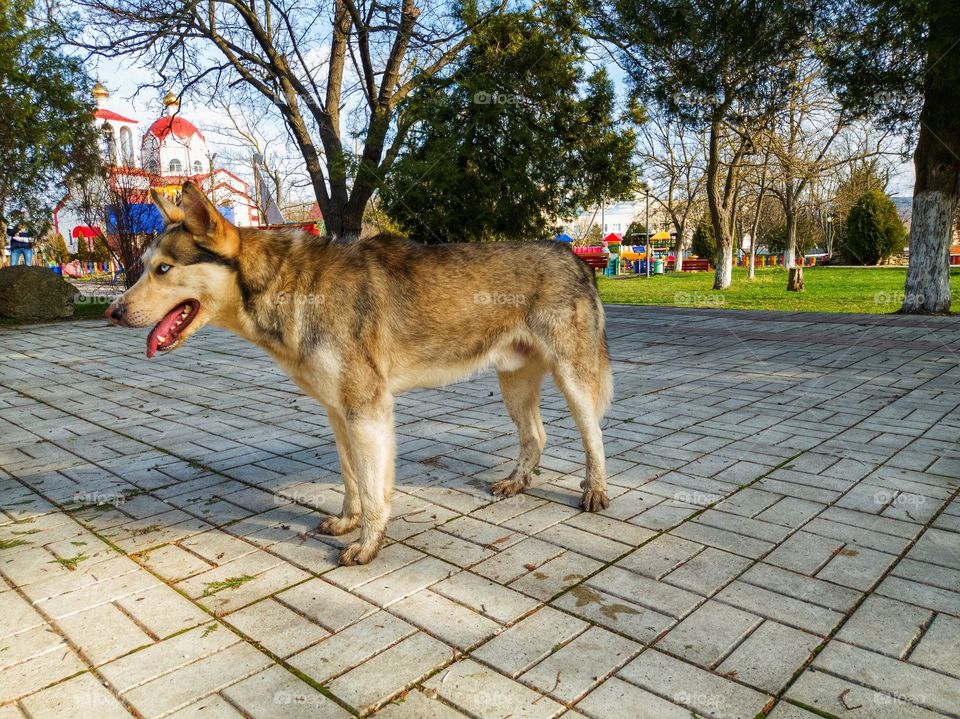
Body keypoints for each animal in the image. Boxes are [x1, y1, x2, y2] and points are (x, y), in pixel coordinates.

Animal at [107, 183, 616, 564]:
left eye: (163, 268)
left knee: (594, 438)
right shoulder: (338, 414)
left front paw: (368, 544)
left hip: (573, 380)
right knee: (537, 436)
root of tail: (573, 256)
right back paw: (516, 482)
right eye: (142, 268)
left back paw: (595, 493)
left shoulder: (367, 412)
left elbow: (374, 493)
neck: (294, 287)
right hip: (513, 383)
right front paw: (347, 522)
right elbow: (352, 481)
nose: (113, 312)